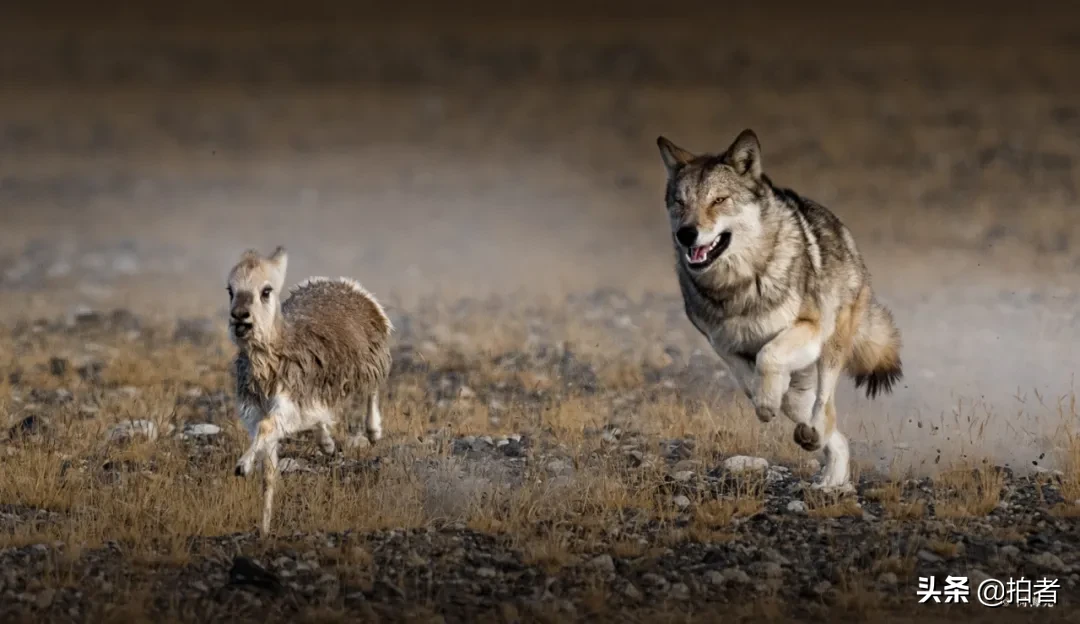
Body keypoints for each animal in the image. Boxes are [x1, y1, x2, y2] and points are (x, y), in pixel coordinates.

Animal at [656, 128, 902, 487]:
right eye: (680, 202)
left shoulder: (809, 329)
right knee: (830, 430)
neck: (739, 286)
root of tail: (846, 236)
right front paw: (765, 398)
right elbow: (749, 379)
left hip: (830, 349)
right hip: (804, 382)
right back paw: (830, 480)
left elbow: (768, 355)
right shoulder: (723, 345)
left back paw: (816, 443)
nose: (686, 234)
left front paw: (767, 400)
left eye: (719, 200)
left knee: (824, 407)